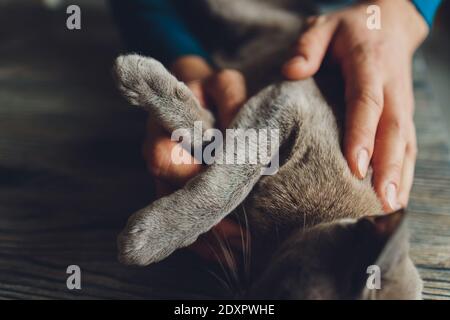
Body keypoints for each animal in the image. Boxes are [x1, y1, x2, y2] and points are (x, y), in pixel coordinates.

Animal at [111, 0, 422, 300]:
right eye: (284, 291)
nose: (243, 295)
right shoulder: (292, 96)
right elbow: (236, 177)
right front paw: (151, 237)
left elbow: (215, 138)